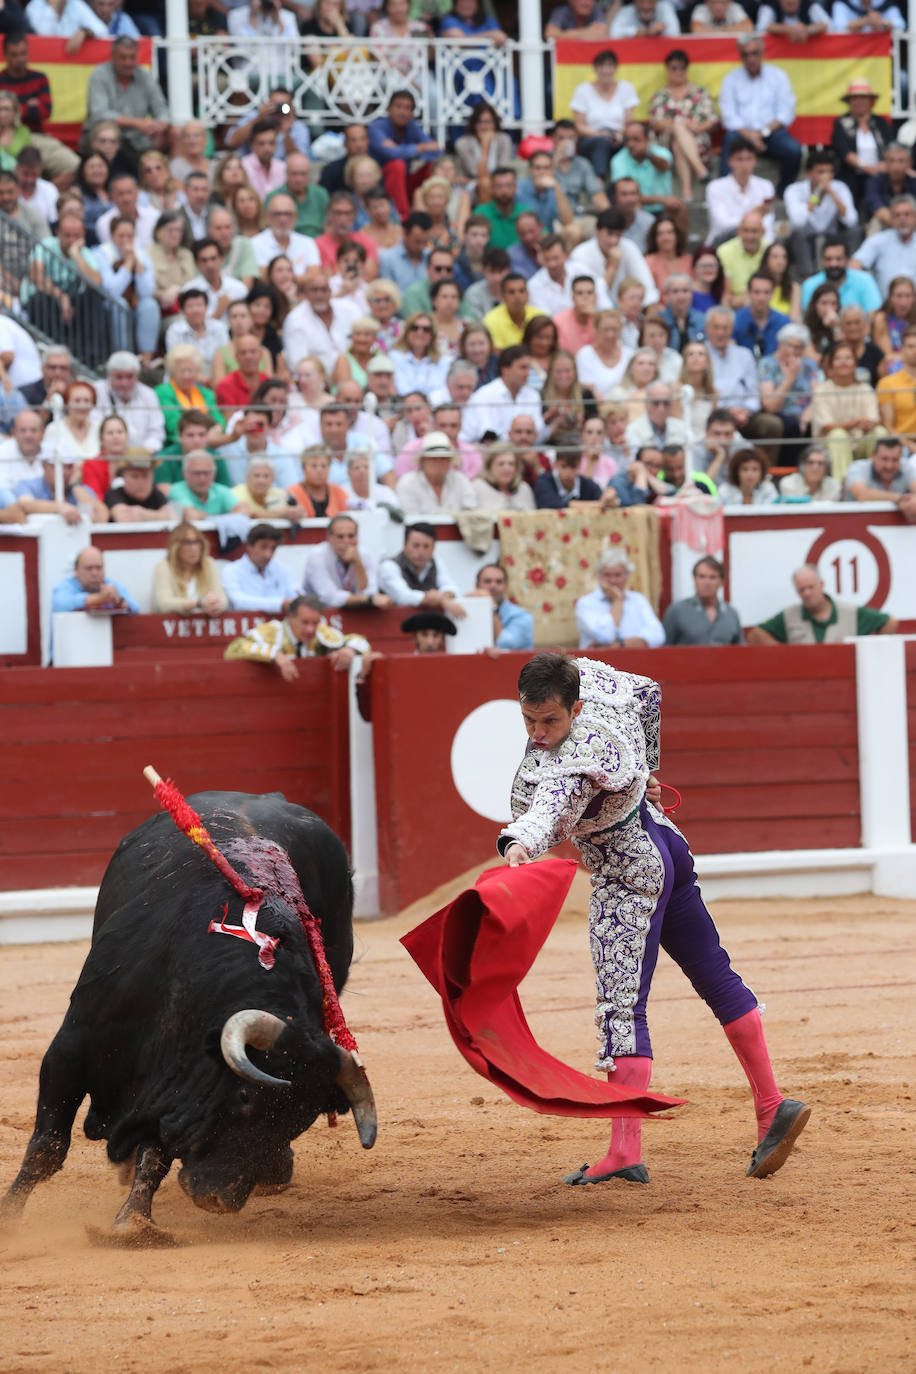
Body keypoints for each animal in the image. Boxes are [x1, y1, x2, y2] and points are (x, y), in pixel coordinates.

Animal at [0, 791, 376, 1242]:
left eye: (298, 1122)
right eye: (245, 1096)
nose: (219, 1200)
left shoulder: (180, 1081)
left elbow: (156, 1150)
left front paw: (133, 1224)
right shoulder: (70, 1050)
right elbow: (47, 1147)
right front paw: (9, 1220)